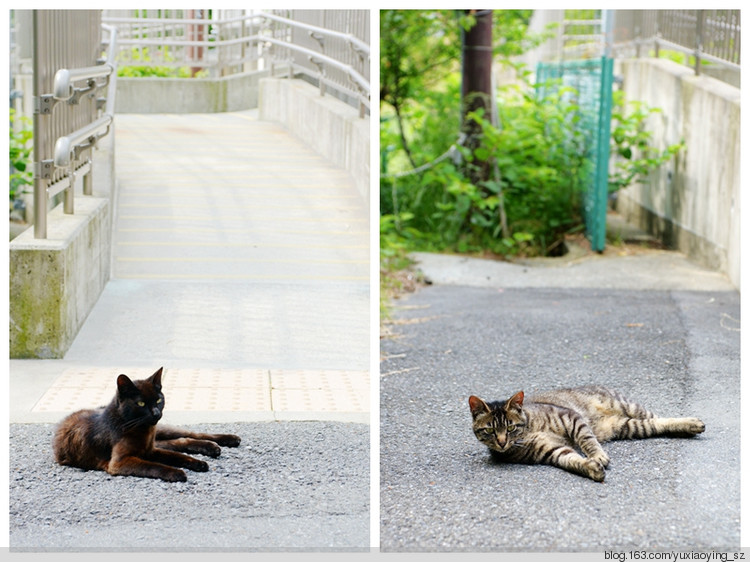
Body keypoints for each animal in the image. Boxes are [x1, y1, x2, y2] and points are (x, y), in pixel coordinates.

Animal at [53, 366, 241, 480]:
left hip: (164, 431)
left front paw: (197, 463)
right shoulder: (121, 461)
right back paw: (212, 448)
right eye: (141, 403)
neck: (142, 431)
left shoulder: (150, 450)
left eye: (158, 399)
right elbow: (153, 466)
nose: (156, 413)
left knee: (189, 435)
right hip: (159, 440)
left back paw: (227, 440)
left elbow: (176, 456)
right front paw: (177, 472)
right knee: (180, 441)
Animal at [468, 384, 708, 482]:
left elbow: (587, 440)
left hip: (628, 406)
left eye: (510, 427)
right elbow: (572, 460)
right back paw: (689, 427)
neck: (528, 430)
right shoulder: (551, 451)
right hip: (627, 426)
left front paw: (597, 456)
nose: (501, 442)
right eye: (490, 430)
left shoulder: (572, 419)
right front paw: (591, 468)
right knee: (656, 423)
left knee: (660, 417)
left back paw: (692, 421)